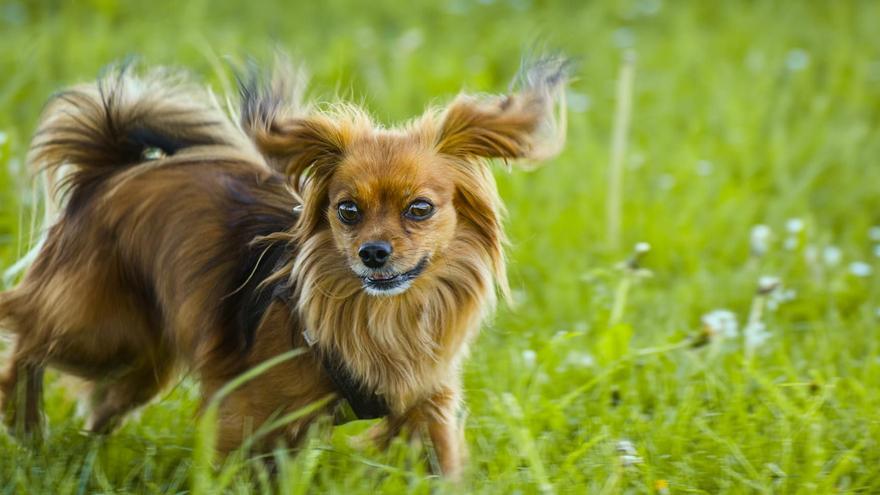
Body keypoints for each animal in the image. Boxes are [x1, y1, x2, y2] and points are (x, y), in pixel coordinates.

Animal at [0, 58, 568, 480]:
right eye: (347, 210)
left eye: (420, 209)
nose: (373, 253)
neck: (383, 317)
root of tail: (110, 170)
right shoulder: (242, 407)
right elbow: (230, 465)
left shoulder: (428, 408)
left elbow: (442, 464)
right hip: (100, 333)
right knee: (25, 332)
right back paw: (24, 420)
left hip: (141, 361)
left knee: (102, 403)